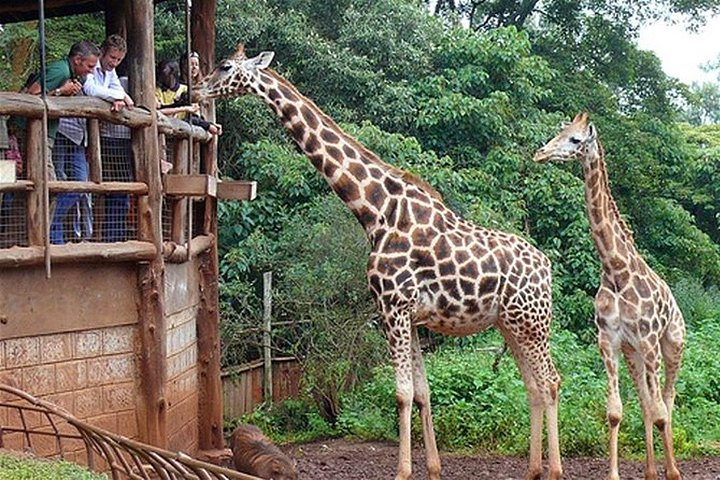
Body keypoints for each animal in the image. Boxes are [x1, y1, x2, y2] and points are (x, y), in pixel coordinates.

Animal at [197, 45, 563, 480]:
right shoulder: (412, 316)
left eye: (225, 67)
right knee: (534, 386)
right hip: (510, 324)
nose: (198, 89)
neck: (375, 210)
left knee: (551, 382)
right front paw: (433, 468)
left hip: (532, 323)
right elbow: (422, 393)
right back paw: (534, 470)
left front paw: (402, 471)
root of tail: (547, 269)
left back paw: (555, 471)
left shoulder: (392, 307)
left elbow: (402, 393)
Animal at [534, 112, 685, 480]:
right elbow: (616, 411)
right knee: (646, 402)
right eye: (559, 132)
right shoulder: (610, 341)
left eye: (575, 139)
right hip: (634, 355)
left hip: (671, 346)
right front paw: (615, 473)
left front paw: (672, 473)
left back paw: (670, 469)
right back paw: (650, 471)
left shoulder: (648, 341)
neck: (616, 271)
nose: (540, 154)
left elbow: (661, 412)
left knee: (667, 401)